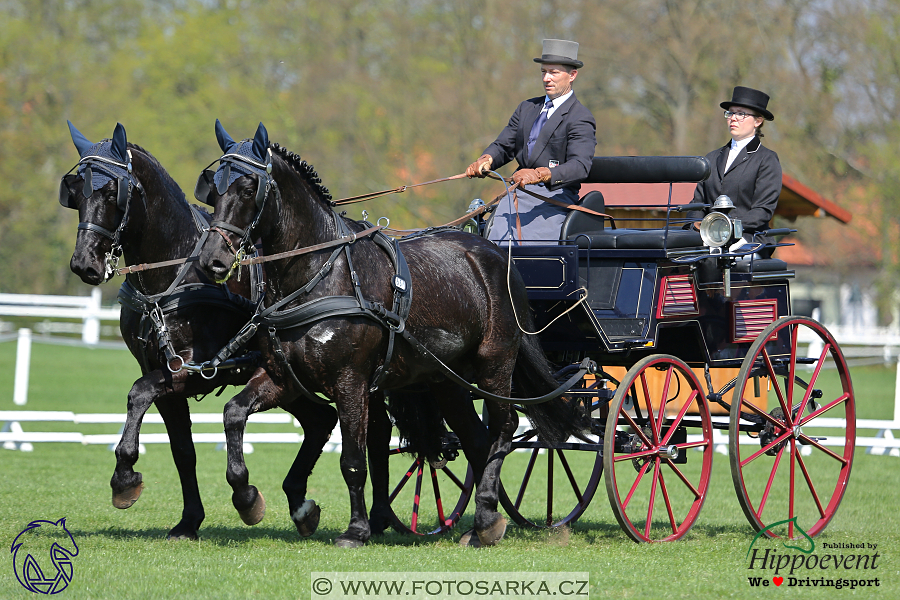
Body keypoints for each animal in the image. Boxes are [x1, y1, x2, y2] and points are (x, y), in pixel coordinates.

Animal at [61, 123, 338, 540]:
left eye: (112, 192)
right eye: (75, 192)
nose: (84, 263)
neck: (175, 273)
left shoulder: (199, 370)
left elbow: (139, 393)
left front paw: (125, 479)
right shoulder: (159, 370)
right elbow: (181, 449)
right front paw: (187, 518)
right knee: (321, 419)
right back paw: (301, 506)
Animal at [195, 122, 584, 548]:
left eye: (249, 188)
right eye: (213, 188)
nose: (211, 260)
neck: (320, 273)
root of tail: (495, 254)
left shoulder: (350, 381)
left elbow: (352, 460)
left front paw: (356, 530)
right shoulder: (284, 377)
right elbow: (233, 413)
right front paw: (248, 498)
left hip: (495, 364)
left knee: (505, 428)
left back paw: (485, 517)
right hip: (447, 380)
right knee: (477, 439)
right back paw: (485, 521)